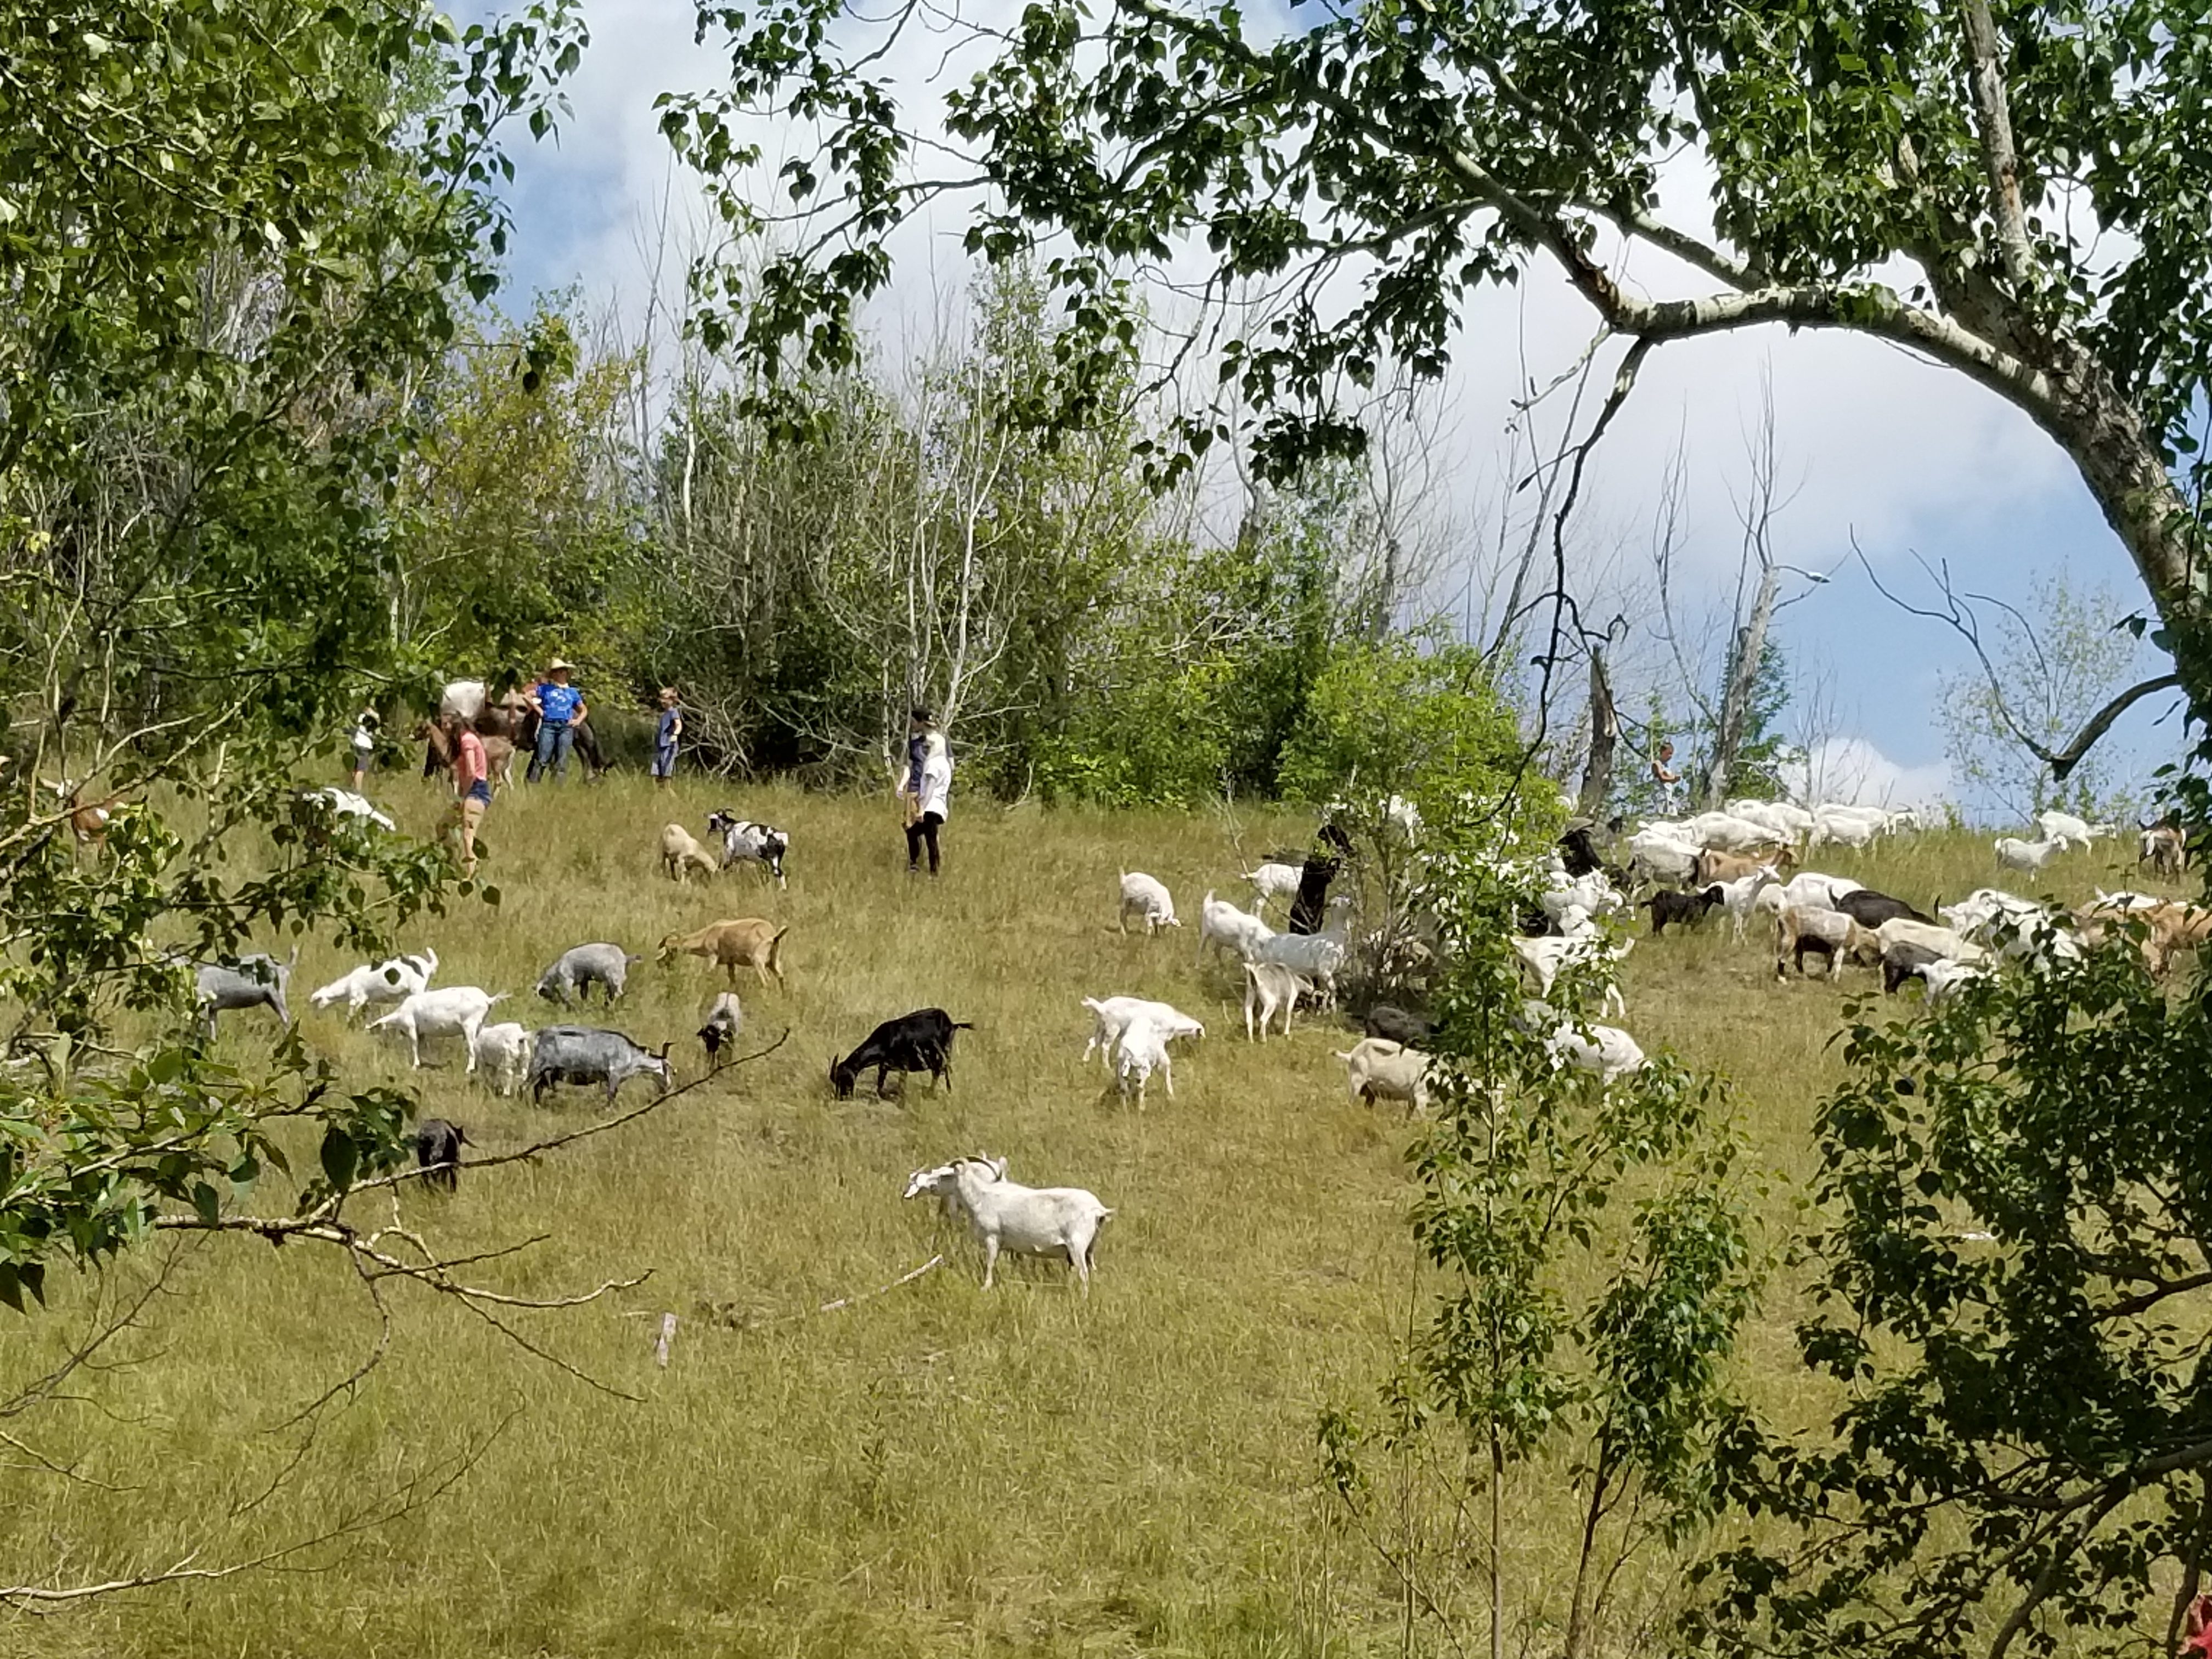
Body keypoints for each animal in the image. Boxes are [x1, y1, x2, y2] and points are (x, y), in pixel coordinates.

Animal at [309, 955, 438, 1022]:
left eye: (317, 1002)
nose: (315, 1018)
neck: (348, 984)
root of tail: (428, 966)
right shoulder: (368, 1000)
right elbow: (367, 1015)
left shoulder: (358, 998)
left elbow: (351, 1014)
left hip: (417, 990)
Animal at [708, 814, 796, 889]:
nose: (709, 831)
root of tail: (778, 837)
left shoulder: (731, 855)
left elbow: (722, 868)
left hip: (772, 860)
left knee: (779, 873)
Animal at [827, 1013, 973, 1106]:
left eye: (845, 1079)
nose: (842, 1097)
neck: (886, 1040)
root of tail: (952, 1024)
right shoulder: (884, 1066)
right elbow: (880, 1087)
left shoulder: (904, 1066)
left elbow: (901, 1085)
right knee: (938, 1072)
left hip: (943, 1053)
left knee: (943, 1072)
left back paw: (938, 1093)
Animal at [1115, 871, 1186, 938]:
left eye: (1165, 926)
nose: (1161, 937)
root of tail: (1125, 878)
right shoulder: (1149, 911)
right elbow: (1150, 926)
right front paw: (1148, 937)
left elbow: (1155, 925)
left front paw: (1156, 935)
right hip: (1125, 902)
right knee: (1122, 917)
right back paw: (1123, 933)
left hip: (1130, 906)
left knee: (1125, 917)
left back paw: (1127, 930)